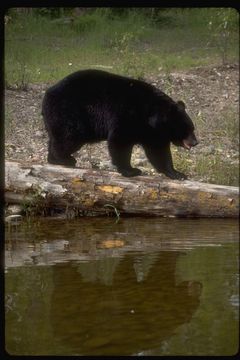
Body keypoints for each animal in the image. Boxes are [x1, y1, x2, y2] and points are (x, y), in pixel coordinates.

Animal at [42, 68, 198, 179]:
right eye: (187, 129)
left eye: (192, 128)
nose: (195, 142)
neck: (150, 115)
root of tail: (47, 94)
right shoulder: (127, 115)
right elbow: (120, 141)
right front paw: (131, 170)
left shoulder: (151, 131)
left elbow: (158, 151)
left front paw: (177, 173)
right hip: (70, 113)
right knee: (69, 136)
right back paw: (65, 159)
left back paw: (53, 159)